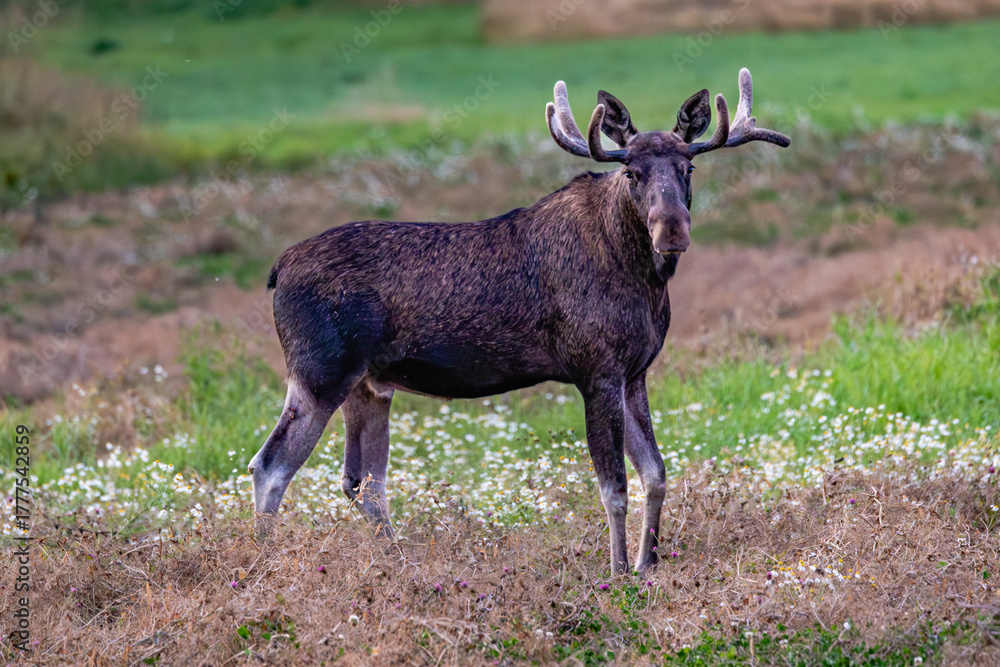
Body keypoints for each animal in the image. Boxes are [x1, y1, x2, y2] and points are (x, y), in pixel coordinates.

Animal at [248, 68, 789, 574]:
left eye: (688, 166)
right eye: (631, 172)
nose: (672, 230)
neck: (641, 278)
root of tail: (277, 270)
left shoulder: (634, 371)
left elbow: (655, 473)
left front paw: (647, 565)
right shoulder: (595, 370)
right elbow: (613, 486)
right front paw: (617, 574)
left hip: (370, 384)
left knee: (363, 482)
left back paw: (399, 559)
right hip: (320, 372)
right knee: (269, 466)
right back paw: (260, 560)